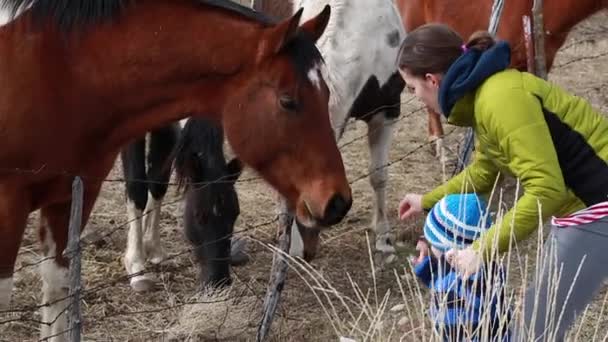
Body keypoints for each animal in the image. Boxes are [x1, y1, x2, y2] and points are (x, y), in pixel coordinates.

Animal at [0, 1, 354, 340]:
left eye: (234, 215)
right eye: (287, 101)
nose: (337, 201)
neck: (60, 68)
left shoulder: (72, 196)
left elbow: (57, 287)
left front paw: (152, 251)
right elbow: (137, 188)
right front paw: (137, 264)